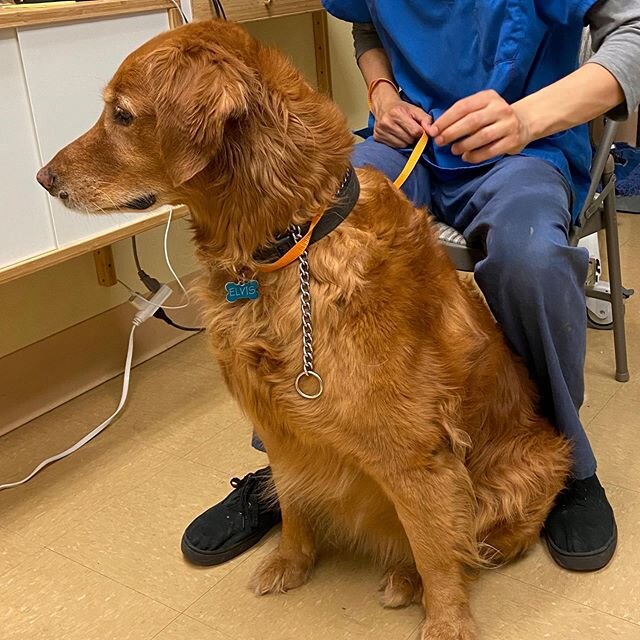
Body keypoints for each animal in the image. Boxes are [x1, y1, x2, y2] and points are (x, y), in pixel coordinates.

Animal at [36, 20, 568, 640]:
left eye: (121, 115)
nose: (42, 178)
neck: (291, 243)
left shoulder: (415, 452)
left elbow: (437, 549)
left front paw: (446, 622)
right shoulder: (280, 428)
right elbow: (291, 502)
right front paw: (291, 562)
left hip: (533, 467)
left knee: (477, 539)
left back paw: (408, 577)